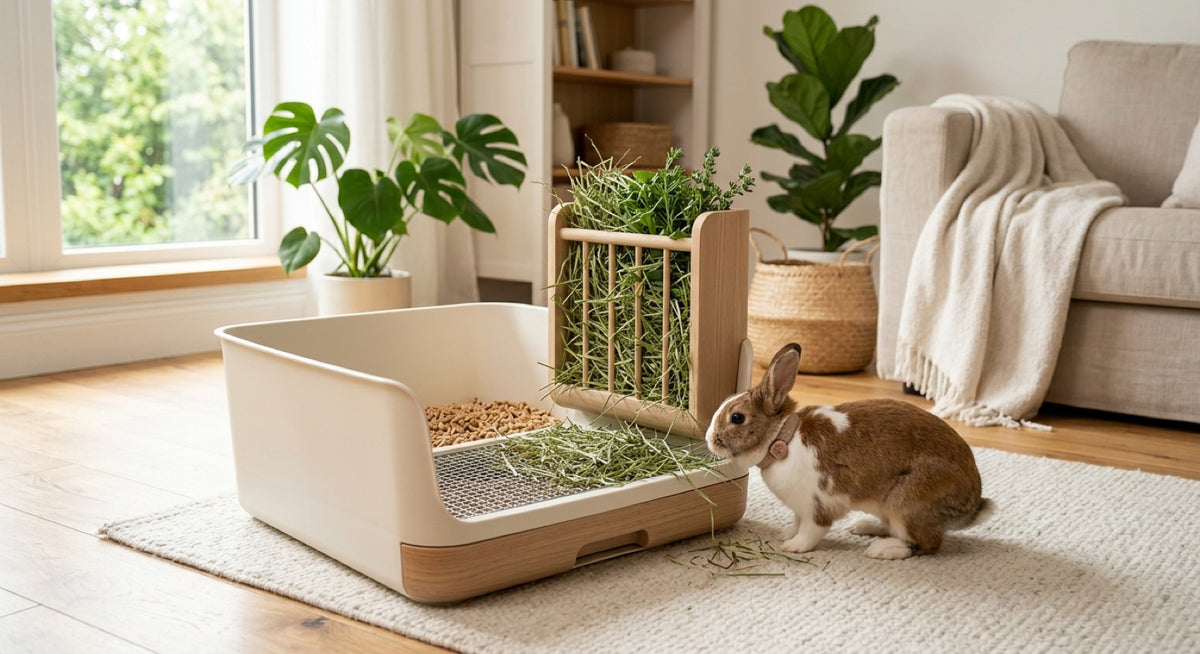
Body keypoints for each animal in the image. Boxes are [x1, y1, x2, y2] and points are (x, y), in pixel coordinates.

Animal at [705, 343, 993, 559]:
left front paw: (793, 546)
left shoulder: (818, 505)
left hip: (907, 504)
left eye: (737, 418)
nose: (710, 439)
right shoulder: (800, 507)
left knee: (927, 543)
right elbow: (796, 522)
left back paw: (882, 549)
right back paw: (864, 526)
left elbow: (811, 530)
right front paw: (785, 534)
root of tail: (973, 503)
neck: (782, 440)